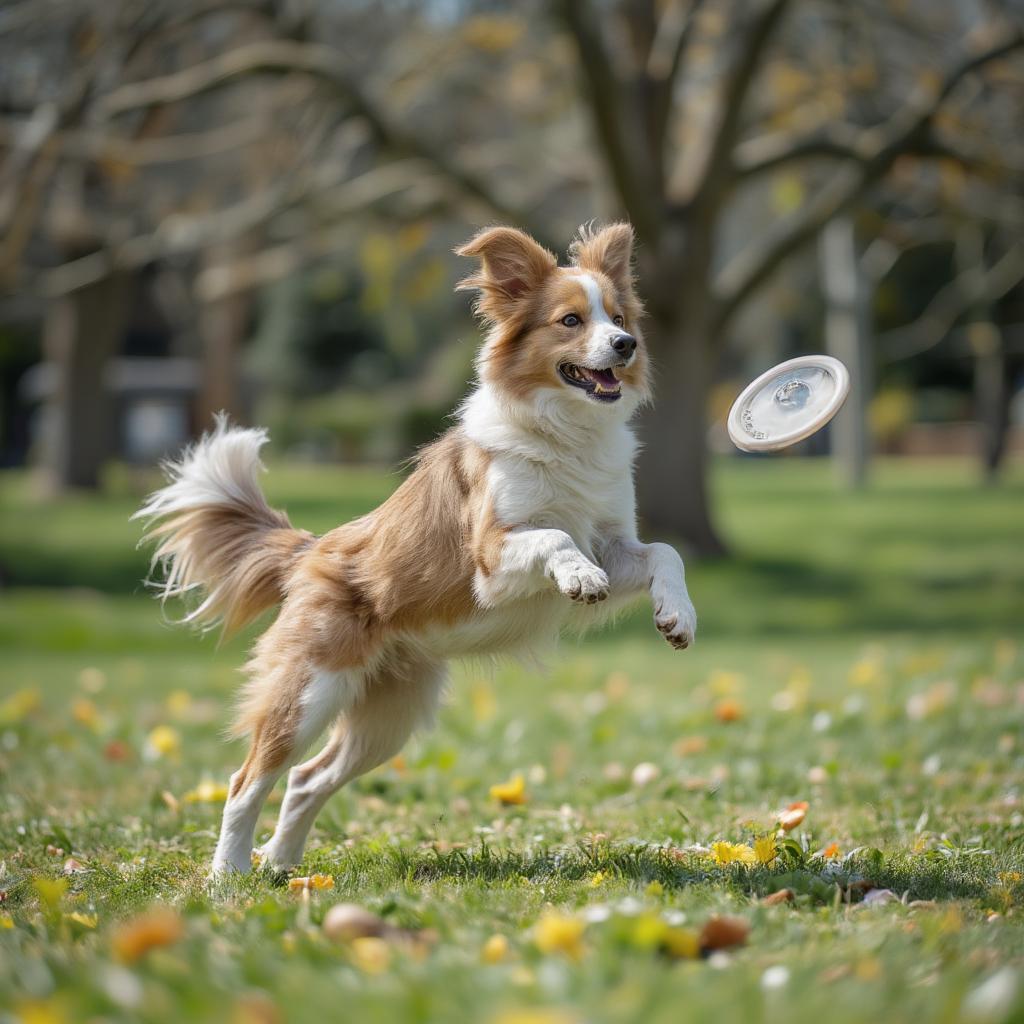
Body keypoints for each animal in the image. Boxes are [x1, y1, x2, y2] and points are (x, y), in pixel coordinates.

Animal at [136, 222, 696, 872]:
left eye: (621, 316)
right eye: (571, 321)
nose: (626, 345)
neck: (567, 436)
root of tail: (310, 551)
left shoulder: (612, 542)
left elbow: (664, 552)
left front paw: (677, 615)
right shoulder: (490, 561)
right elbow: (556, 537)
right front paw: (580, 577)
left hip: (387, 719)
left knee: (305, 779)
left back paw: (281, 866)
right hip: (308, 691)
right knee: (245, 781)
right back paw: (228, 874)